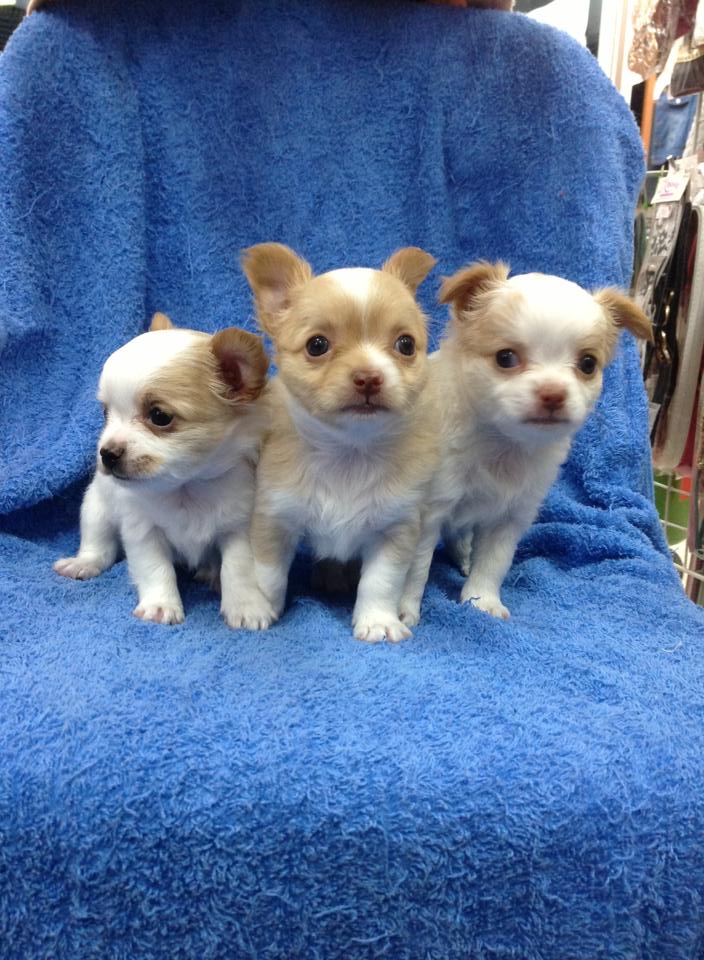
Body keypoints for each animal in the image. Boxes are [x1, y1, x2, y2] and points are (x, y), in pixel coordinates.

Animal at [53, 312, 272, 628]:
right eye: (106, 414)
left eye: (159, 416)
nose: (106, 453)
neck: (186, 488)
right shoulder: (143, 531)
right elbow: (155, 569)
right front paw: (160, 606)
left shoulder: (238, 529)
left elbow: (238, 569)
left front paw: (246, 607)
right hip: (95, 508)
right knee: (98, 544)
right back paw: (82, 563)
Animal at [241, 242, 440, 642]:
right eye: (317, 345)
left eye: (406, 345)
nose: (369, 377)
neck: (350, 452)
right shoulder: (273, 519)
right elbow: (269, 575)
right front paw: (262, 609)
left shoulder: (396, 530)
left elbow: (381, 583)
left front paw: (378, 621)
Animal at [399, 261, 652, 623]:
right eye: (505, 358)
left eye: (588, 364)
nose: (553, 393)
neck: (503, 445)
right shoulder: (427, 513)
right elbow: (414, 570)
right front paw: (405, 612)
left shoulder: (510, 518)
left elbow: (493, 564)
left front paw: (482, 602)